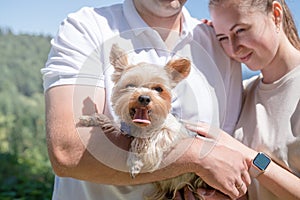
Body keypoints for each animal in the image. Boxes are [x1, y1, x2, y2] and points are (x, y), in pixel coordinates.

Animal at [79, 44, 205, 199]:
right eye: (130, 86)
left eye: (158, 89)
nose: (144, 98)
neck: (141, 125)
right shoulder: (124, 129)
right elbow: (110, 123)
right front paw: (90, 119)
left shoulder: (174, 131)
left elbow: (151, 138)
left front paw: (136, 161)